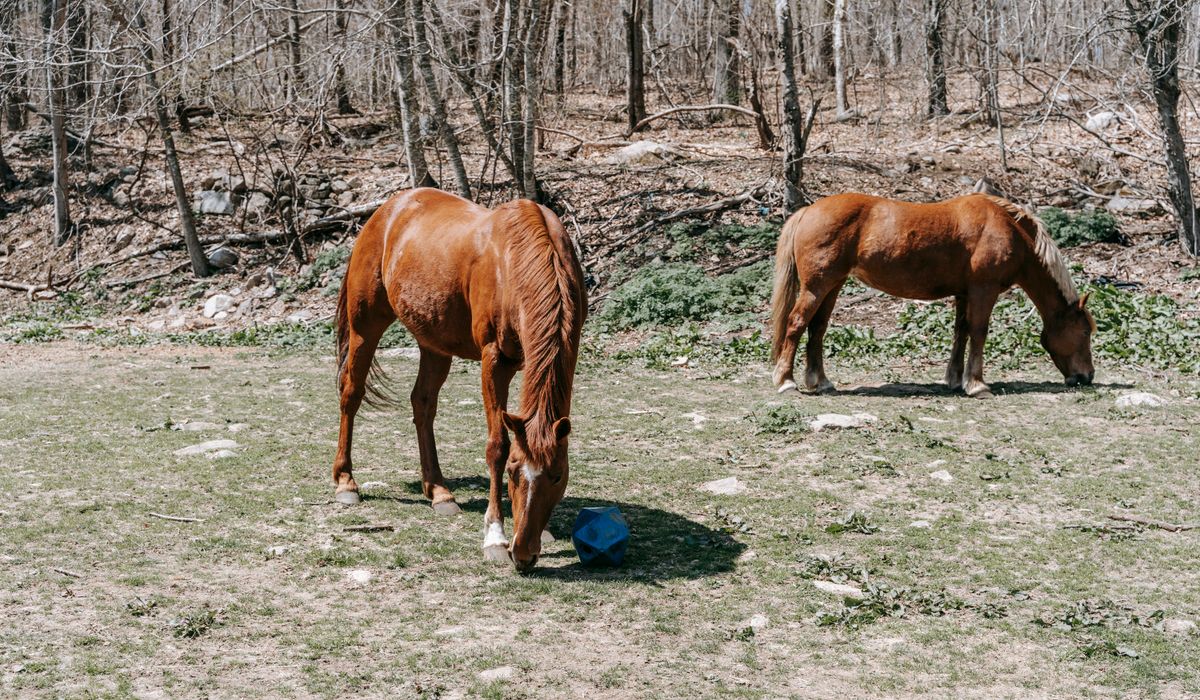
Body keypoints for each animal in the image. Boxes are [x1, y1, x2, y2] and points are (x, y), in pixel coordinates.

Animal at [332, 188, 586, 572]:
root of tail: (386, 211)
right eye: (513, 472)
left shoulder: (567, 354)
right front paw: (495, 536)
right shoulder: (494, 360)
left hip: (433, 343)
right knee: (351, 392)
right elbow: (497, 445)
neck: (515, 262)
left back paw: (438, 491)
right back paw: (346, 482)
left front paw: (543, 530)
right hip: (366, 327)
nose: (523, 554)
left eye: (557, 476)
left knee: (422, 403)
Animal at [770, 193, 1095, 398]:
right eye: (1085, 332)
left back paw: (820, 382)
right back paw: (785, 381)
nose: (1087, 376)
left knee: (817, 329)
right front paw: (977, 384)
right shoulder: (983, 291)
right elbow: (979, 332)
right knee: (796, 323)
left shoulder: (964, 294)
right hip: (816, 287)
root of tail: (807, 211)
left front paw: (955, 379)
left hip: (832, 286)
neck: (1006, 228)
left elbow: (961, 332)